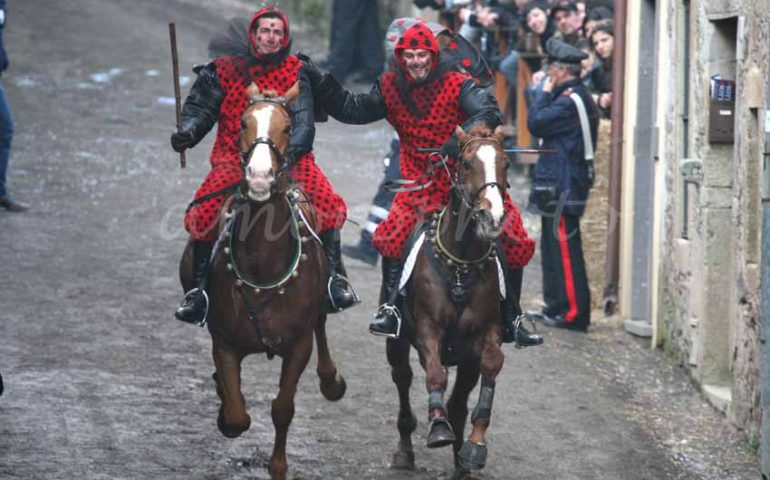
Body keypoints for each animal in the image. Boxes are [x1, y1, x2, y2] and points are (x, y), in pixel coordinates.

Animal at [177, 82, 344, 480]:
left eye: (287, 126)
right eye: (242, 123)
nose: (258, 177)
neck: (263, 263)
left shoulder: (298, 346)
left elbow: (283, 408)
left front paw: (278, 467)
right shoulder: (223, 342)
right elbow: (237, 413)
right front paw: (225, 413)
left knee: (322, 325)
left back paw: (331, 380)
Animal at [388, 123, 508, 476]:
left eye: (506, 164)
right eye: (466, 163)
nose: (492, 217)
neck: (460, 263)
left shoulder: (485, 334)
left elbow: (491, 364)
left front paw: (475, 445)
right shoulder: (428, 331)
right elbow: (435, 375)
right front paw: (439, 427)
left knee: (458, 401)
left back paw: (461, 462)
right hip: (396, 342)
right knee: (403, 377)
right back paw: (405, 448)